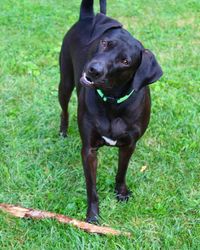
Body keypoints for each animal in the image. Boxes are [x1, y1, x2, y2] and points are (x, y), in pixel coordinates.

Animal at [57, 0, 162, 223]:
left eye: (125, 61)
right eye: (105, 43)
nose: (93, 69)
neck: (113, 101)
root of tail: (88, 17)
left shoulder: (129, 145)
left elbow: (121, 172)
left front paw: (121, 193)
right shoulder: (89, 150)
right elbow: (92, 187)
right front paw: (93, 216)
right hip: (65, 81)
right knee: (64, 109)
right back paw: (62, 131)